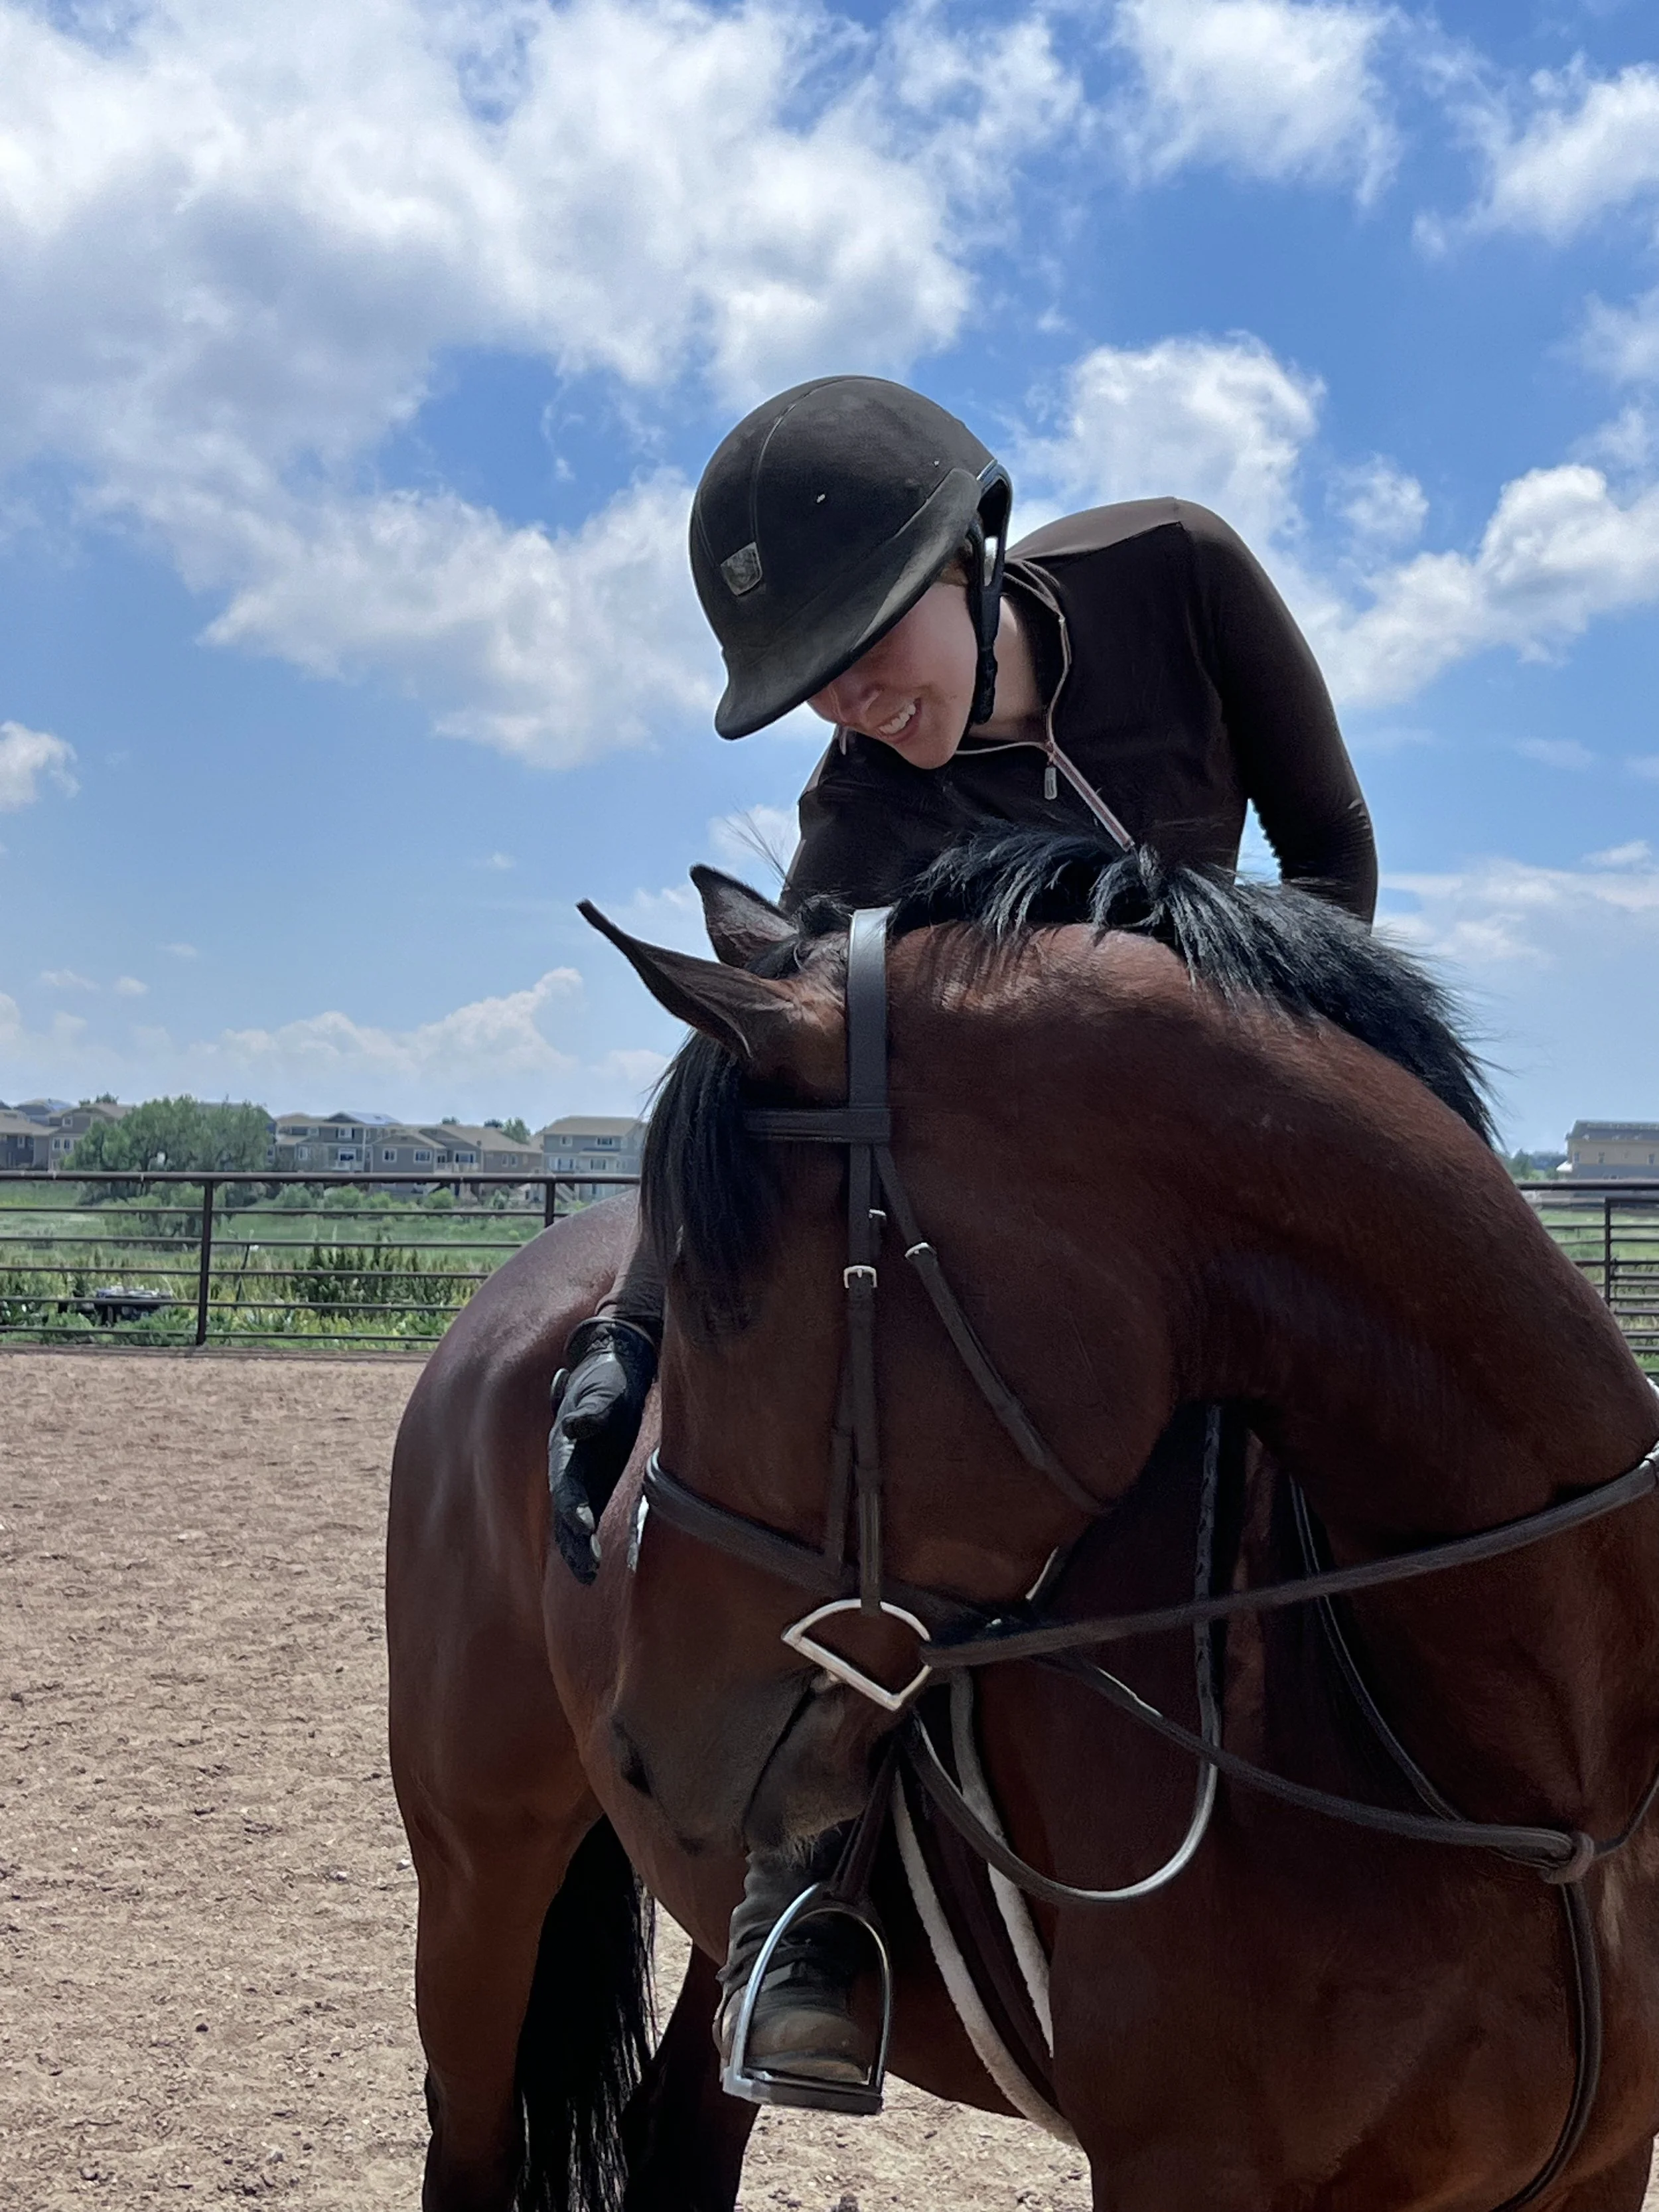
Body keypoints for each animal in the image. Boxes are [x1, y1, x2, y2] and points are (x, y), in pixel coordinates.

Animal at [388, 829, 1659, 2212]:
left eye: (723, 1297)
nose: (641, 1745)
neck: (1535, 1777)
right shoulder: (1183, 2165)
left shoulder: (1604, 2164)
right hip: (480, 1862)